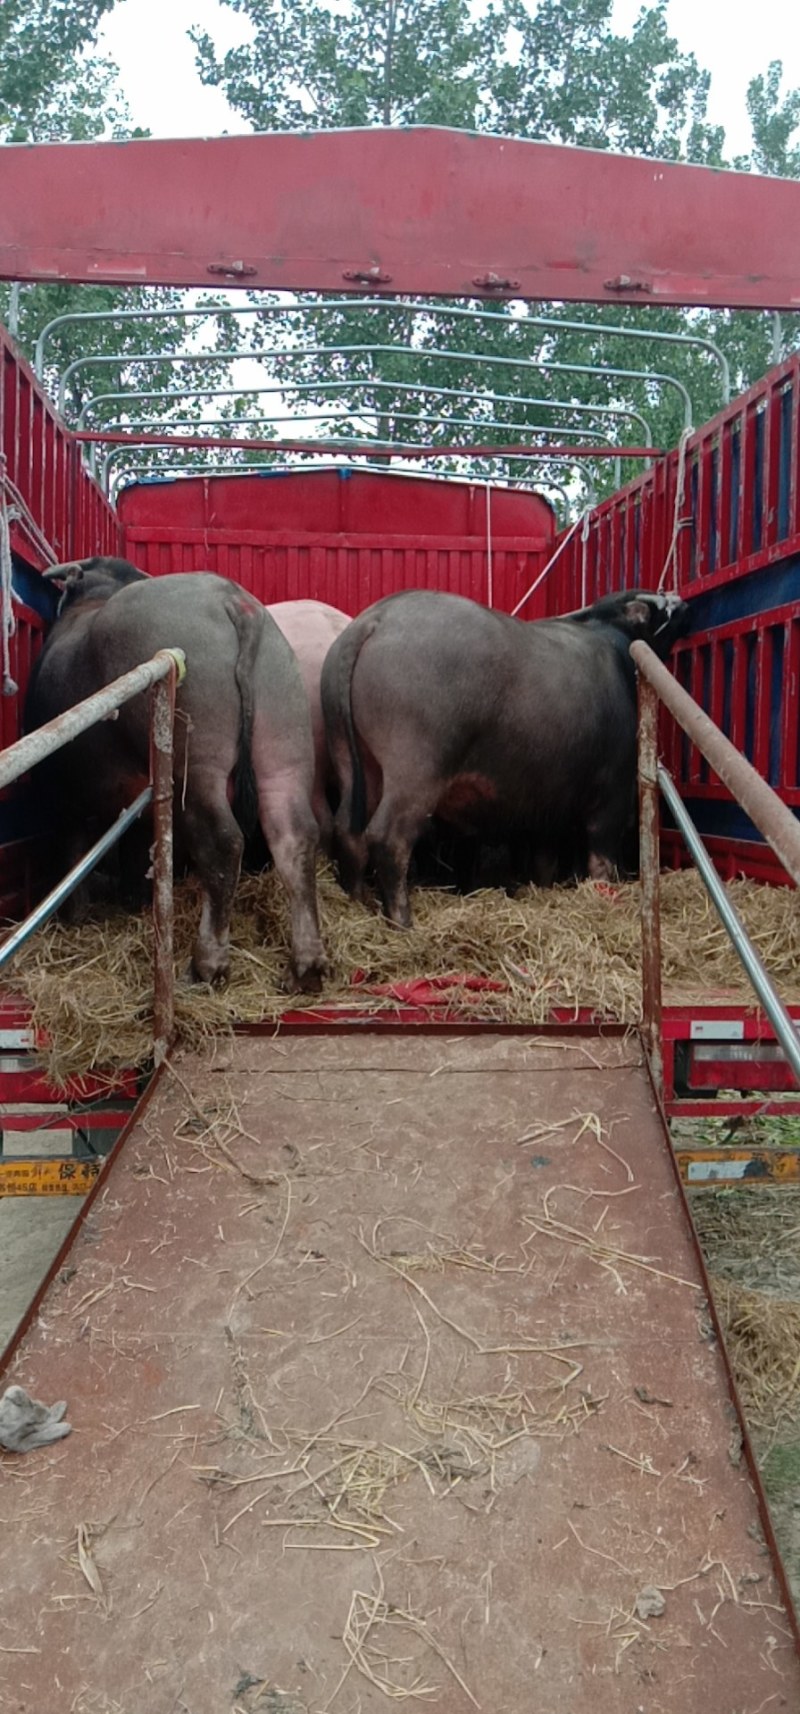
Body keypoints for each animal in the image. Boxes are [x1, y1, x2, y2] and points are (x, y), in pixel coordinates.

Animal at [25, 558, 325, 994]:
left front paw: (76, 916)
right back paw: (306, 967)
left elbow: (74, 854)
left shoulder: (62, 799)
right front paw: (133, 900)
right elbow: (134, 849)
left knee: (222, 845)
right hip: (284, 746)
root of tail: (233, 602)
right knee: (295, 838)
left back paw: (206, 965)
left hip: (196, 768)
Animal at [322, 586, 692, 925]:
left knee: (348, 830)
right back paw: (401, 919)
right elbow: (600, 860)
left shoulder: (549, 809)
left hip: (352, 763)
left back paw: (359, 903)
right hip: (416, 772)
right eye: (659, 607)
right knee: (389, 839)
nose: (684, 603)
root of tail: (375, 621)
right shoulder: (611, 797)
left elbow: (544, 862)